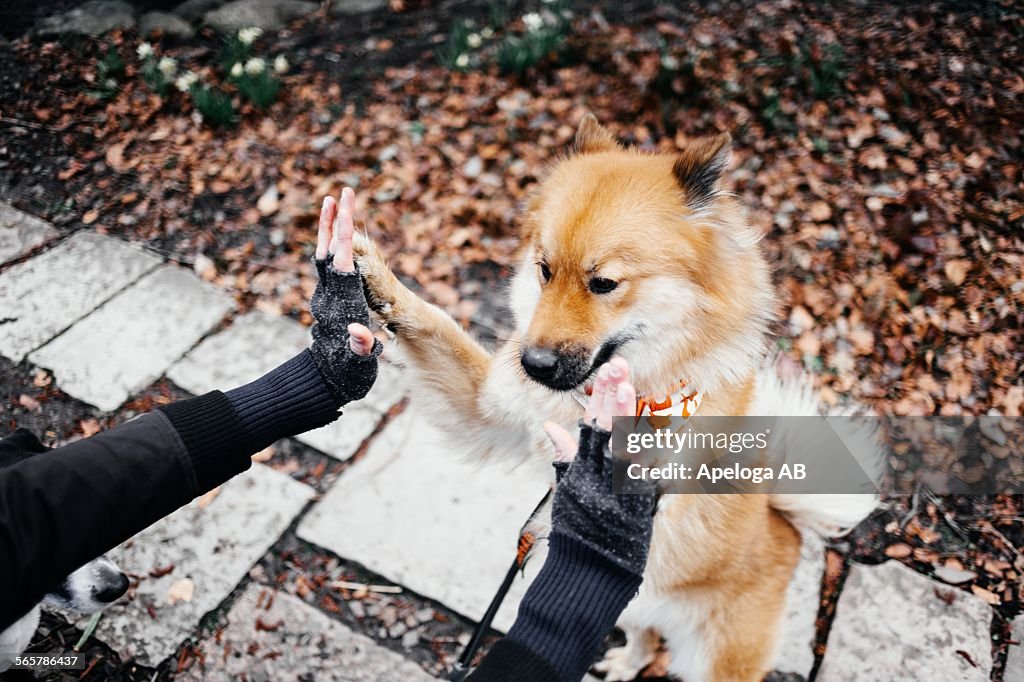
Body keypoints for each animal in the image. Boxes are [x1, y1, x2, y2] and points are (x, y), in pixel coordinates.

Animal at [354, 114, 880, 675]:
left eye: (604, 283)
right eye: (544, 270)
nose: (533, 365)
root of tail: (786, 525)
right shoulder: (487, 409)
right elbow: (434, 321)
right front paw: (375, 278)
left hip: (713, 657)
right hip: (633, 603)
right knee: (644, 637)